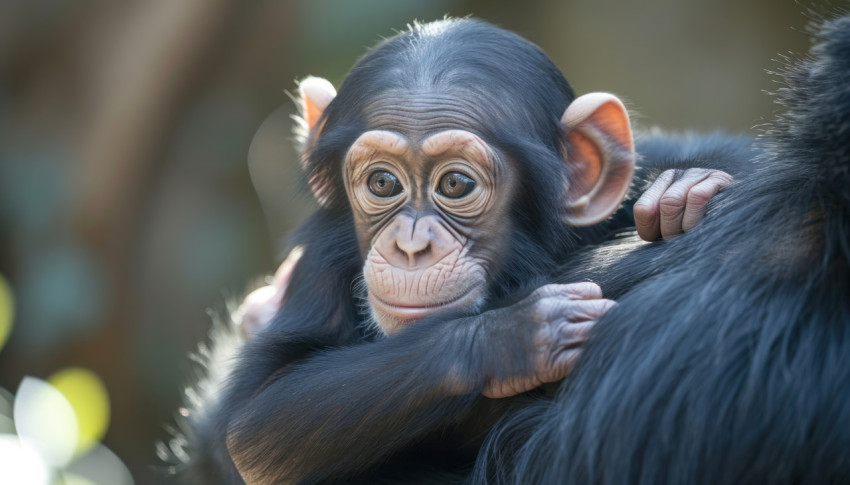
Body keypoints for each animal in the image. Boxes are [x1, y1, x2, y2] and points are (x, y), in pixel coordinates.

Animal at [166, 17, 748, 482]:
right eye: (382, 183)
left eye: (455, 185)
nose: (411, 244)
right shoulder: (322, 263)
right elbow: (259, 421)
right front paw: (515, 336)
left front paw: (685, 188)